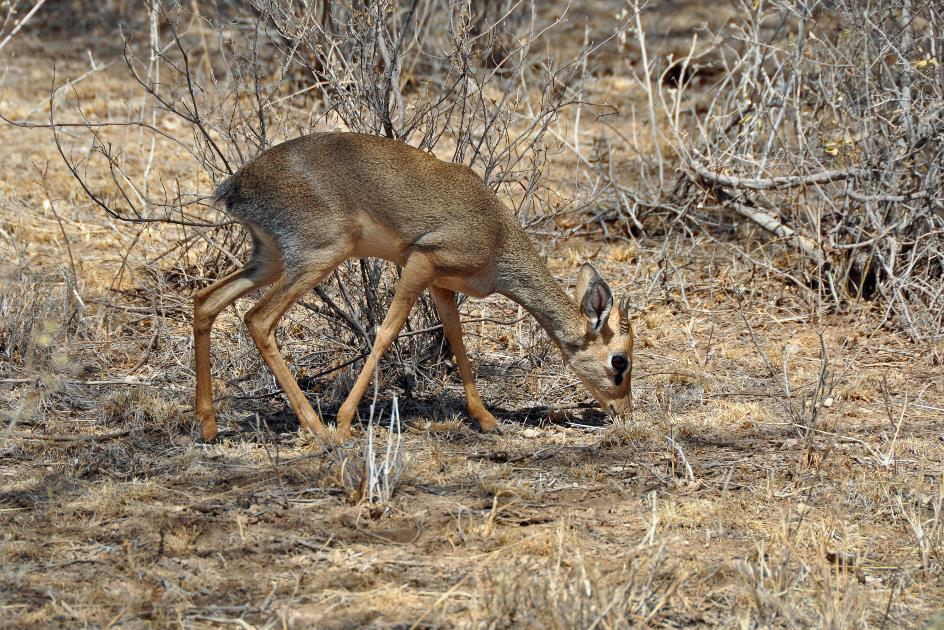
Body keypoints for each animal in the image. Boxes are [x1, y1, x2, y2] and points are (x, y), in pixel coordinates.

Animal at [194, 131, 636, 442]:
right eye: (620, 362)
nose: (625, 412)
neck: (496, 234)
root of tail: (236, 185)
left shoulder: (441, 284)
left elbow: (456, 339)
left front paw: (486, 419)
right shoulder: (420, 263)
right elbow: (386, 331)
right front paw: (344, 421)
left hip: (268, 260)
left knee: (205, 300)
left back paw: (209, 428)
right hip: (316, 259)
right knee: (257, 319)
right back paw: (318, 430)